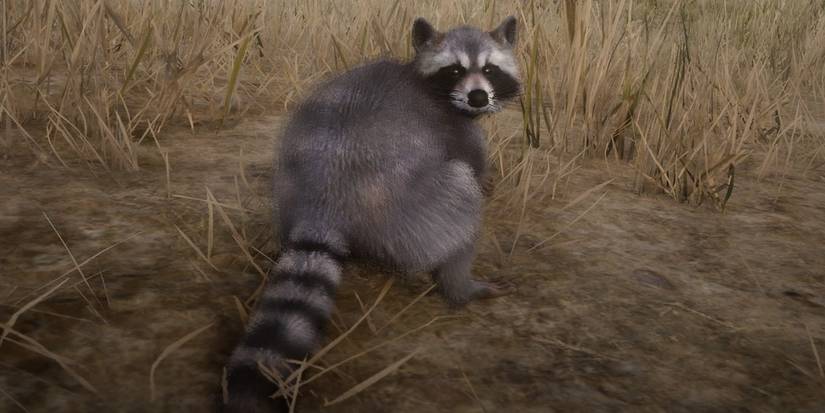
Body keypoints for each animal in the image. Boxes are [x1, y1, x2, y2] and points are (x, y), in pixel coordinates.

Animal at [223, 16, 521, 412]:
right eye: (455, 70)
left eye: (490, 69)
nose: (478, 98)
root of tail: (325, 196)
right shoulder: (454, 129)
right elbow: (473, 167)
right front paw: (487, 184)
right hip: (410, 208)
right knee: (461, 195)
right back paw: (460, 286)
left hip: (285, 187)